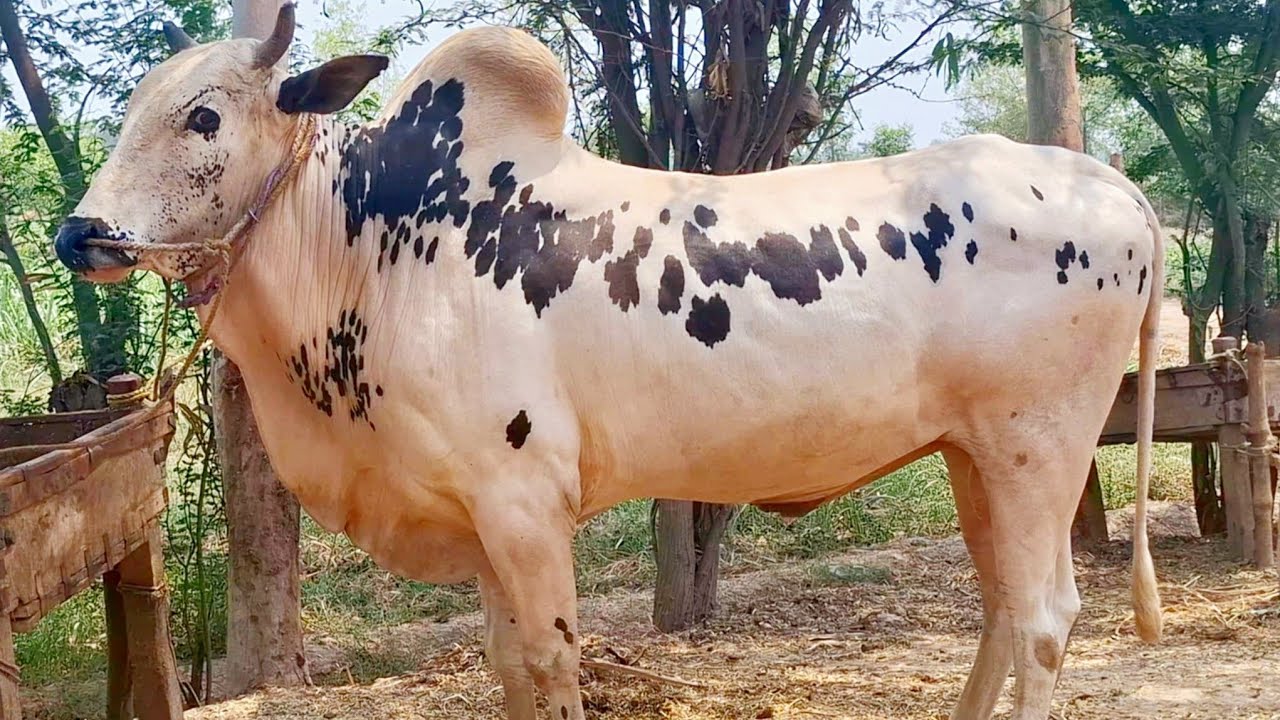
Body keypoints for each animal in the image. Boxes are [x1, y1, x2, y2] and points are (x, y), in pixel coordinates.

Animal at [53, 6, 1162, 719]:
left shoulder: (524, 503)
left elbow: (550, 665)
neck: (370, 246)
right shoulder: (479, 520)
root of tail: (1113, 188)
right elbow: (508, 670)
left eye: (203, 115)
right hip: (974, 458)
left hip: (1037, 449)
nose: (81, 234)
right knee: (1003, 610)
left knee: (1044, 621)